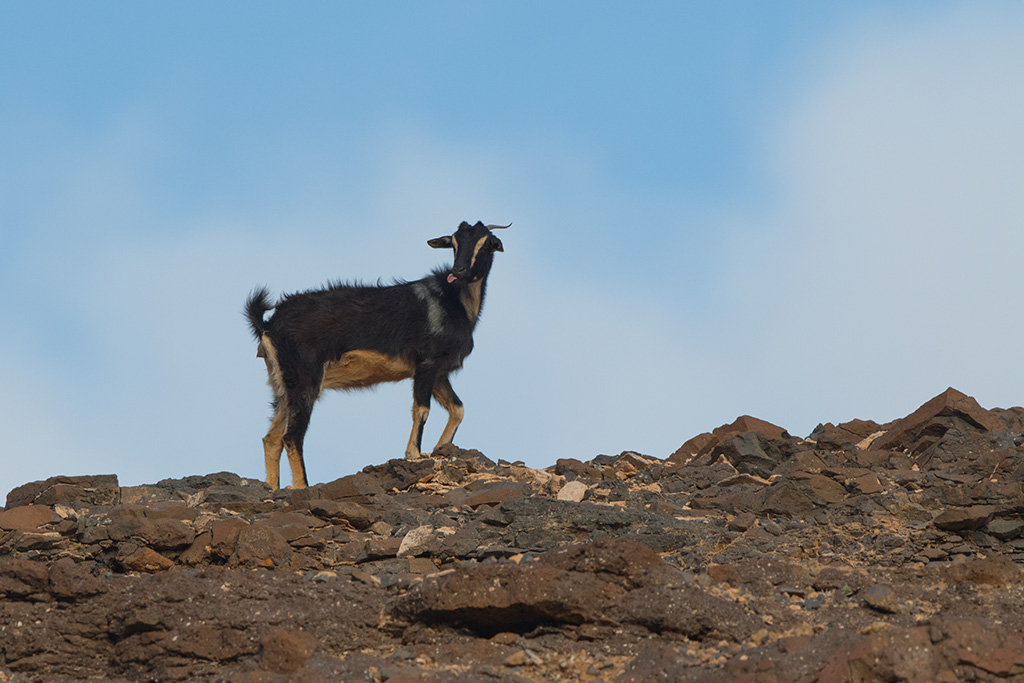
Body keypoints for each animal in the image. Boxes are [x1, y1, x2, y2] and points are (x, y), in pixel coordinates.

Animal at [244, 222, 507, 489]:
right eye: (453, 243)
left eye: (487, 243)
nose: (459, 271)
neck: (454, 302)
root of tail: (268, 324)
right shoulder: (427, 362)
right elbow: (422, 409)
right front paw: (414, 453)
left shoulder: (438, 372)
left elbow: (457, 408)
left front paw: (439, 448)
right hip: (305, 378)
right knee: (292, 435)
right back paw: (302, 485)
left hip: (282, 382)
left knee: (272, 437)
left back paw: (272, 487)